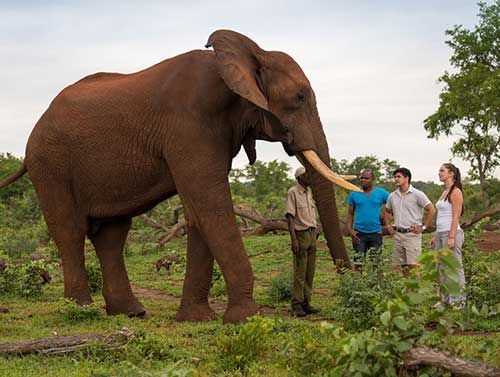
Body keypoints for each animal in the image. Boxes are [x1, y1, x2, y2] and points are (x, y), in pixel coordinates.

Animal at [0, 29, 360, 324]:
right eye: (299, 97)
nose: (311, 309)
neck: (250, 54)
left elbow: (198, 213)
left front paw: (196, 319)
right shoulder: (188, 126)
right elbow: (211, 206)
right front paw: (247, 319)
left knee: (112, 236)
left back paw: (131, 312)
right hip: (50, 163)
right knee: (70, 231)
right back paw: (80, 312)